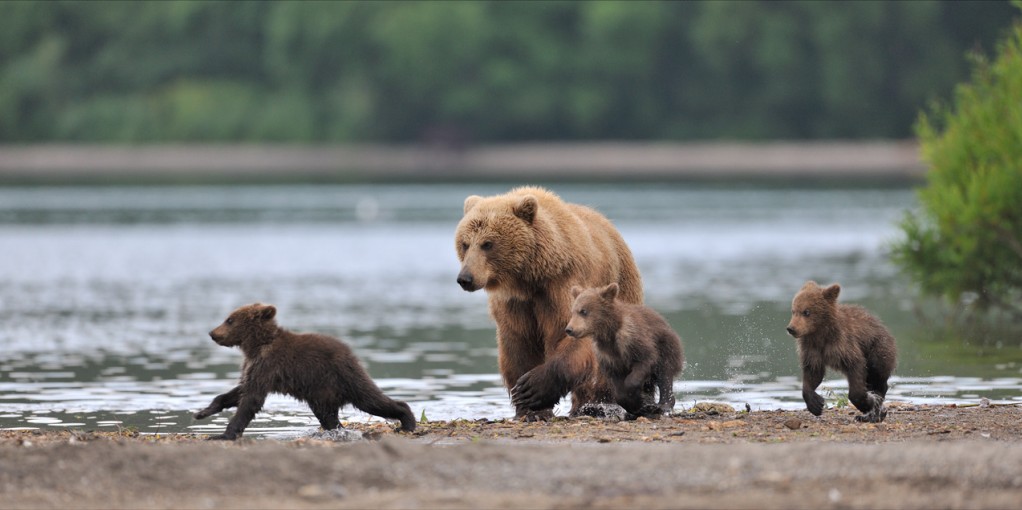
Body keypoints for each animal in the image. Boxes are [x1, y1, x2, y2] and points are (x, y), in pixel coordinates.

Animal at [192, 302, 414, 439]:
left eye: (230, 319)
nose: (212, 333)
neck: (256, 345)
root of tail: (351, 354)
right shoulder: (254, 367)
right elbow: (240, 390)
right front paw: (203, 412)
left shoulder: (268, 365)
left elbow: (251, 399)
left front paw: (223, 434)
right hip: (321, 393)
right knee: (329, 416)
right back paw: (336, 430)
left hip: (343, 377)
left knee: (371, 400)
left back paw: (407, 421)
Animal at [564, 284, 682, 419]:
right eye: (573, 311)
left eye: (583, 311)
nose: (569, 329)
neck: (609, 334)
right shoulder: (608, 357)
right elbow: (618, 389)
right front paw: (636, 405)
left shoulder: (633, 340)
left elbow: (645, 361)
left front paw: (637, 398)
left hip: (667, 347)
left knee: (664, 375)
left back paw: (663, 405)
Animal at [784, 284, 899, 423]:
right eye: (793, 311)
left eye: (806, 312)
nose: (791, 328)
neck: (820, 334)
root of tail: (885, 328)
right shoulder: (812, 350)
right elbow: (813, 373)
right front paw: (816, 404)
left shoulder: (843, 344)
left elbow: (856, 367)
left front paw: (868, 403)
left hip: (878, 348)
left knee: (877, 374)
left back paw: (875, 410)